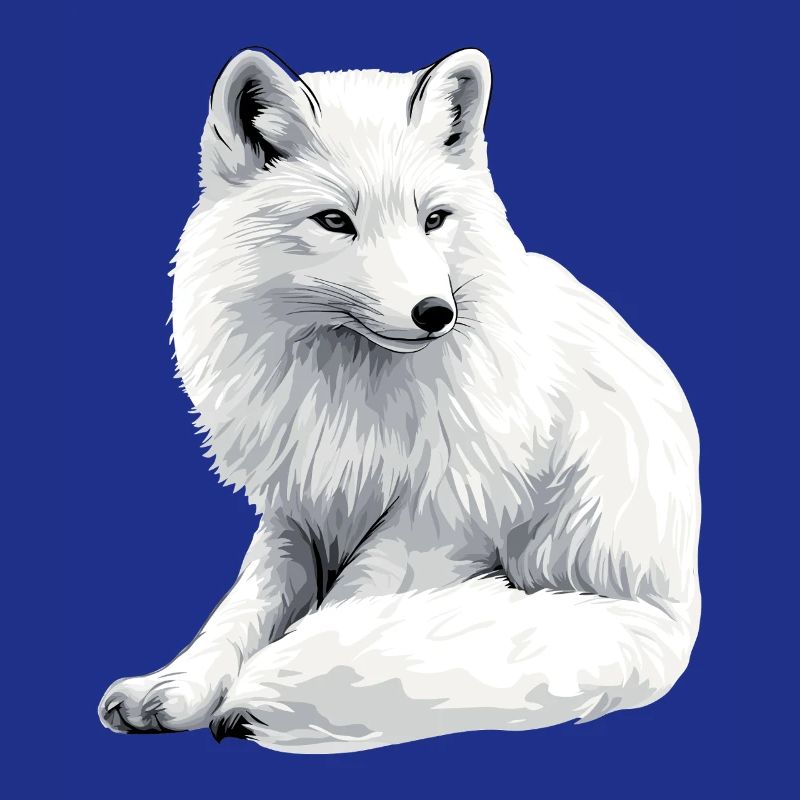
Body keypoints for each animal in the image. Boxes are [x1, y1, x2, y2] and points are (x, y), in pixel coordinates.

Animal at [98, 47, 701, 753]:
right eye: (335, 221)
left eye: (433, 219)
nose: (436, 312)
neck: (348, 392)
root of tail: (673, 613)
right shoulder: (295, 509)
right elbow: (242, 608)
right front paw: (176, 687)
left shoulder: (441, 518)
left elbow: (347, 611)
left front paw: (278, 679)